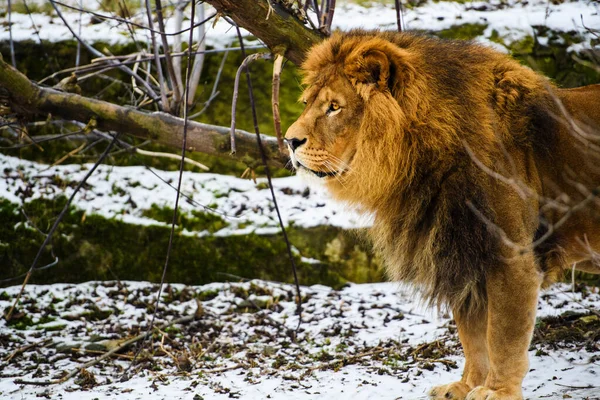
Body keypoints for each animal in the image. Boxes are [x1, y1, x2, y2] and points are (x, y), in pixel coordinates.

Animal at [284, 31, 600, 400]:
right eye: (307, 102)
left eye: (334, 107)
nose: (289, 141)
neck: (423, 156)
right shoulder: (461, 251)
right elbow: (473, 335)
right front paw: (467, 385)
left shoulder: (511, 256)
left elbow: (503, 336)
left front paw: (498, 392)